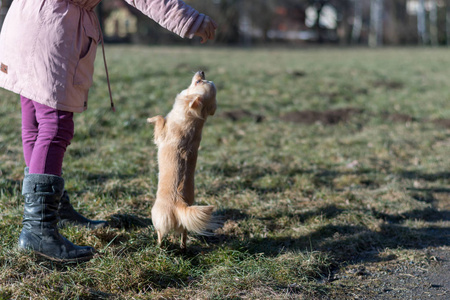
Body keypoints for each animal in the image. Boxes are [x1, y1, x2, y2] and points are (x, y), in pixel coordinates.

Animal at [148, 70, 218, 248]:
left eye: (199, 81)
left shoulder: (161, 134)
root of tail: (179, 204)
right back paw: (183, 246)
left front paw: (150, 119)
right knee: (184, 234)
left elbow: (160, 118)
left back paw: (159, 246)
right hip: (184, 226)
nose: (201, 71)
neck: (194, 117)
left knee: (160, 233)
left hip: (156, 216)